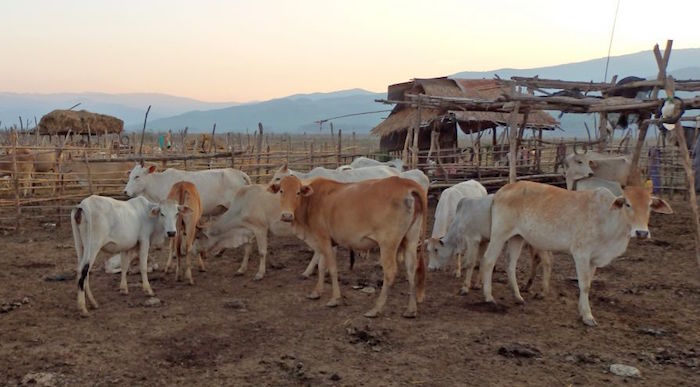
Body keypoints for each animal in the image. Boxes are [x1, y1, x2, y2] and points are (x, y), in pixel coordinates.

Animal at [268, 176, 426, 318]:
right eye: (281, 191)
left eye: (298, 192)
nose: (287, 215)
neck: (311, 201)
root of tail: (405, 182)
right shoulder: (329, 243)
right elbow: (322, 266)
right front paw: (317, 292)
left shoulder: (322, 239)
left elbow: (332, 269)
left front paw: (335, 299)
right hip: (411, 239)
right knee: (411, 269)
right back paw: (411, 310)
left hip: (388, 243)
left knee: (390, 272)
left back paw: (376, 309)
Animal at [478, 180, 668, 326]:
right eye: (627, 204)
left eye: (650, 206)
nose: (642, 232)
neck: (608, 220)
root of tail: (502, 190)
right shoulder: (581, 254)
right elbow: (584, 285)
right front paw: (588, 316)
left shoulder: (593, 260)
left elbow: (588, 284)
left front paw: (582, 311)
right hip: (499, 234)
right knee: (488, 261)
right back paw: (489, 297)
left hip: (517, 237)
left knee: (511, 264)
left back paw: (518, 297)